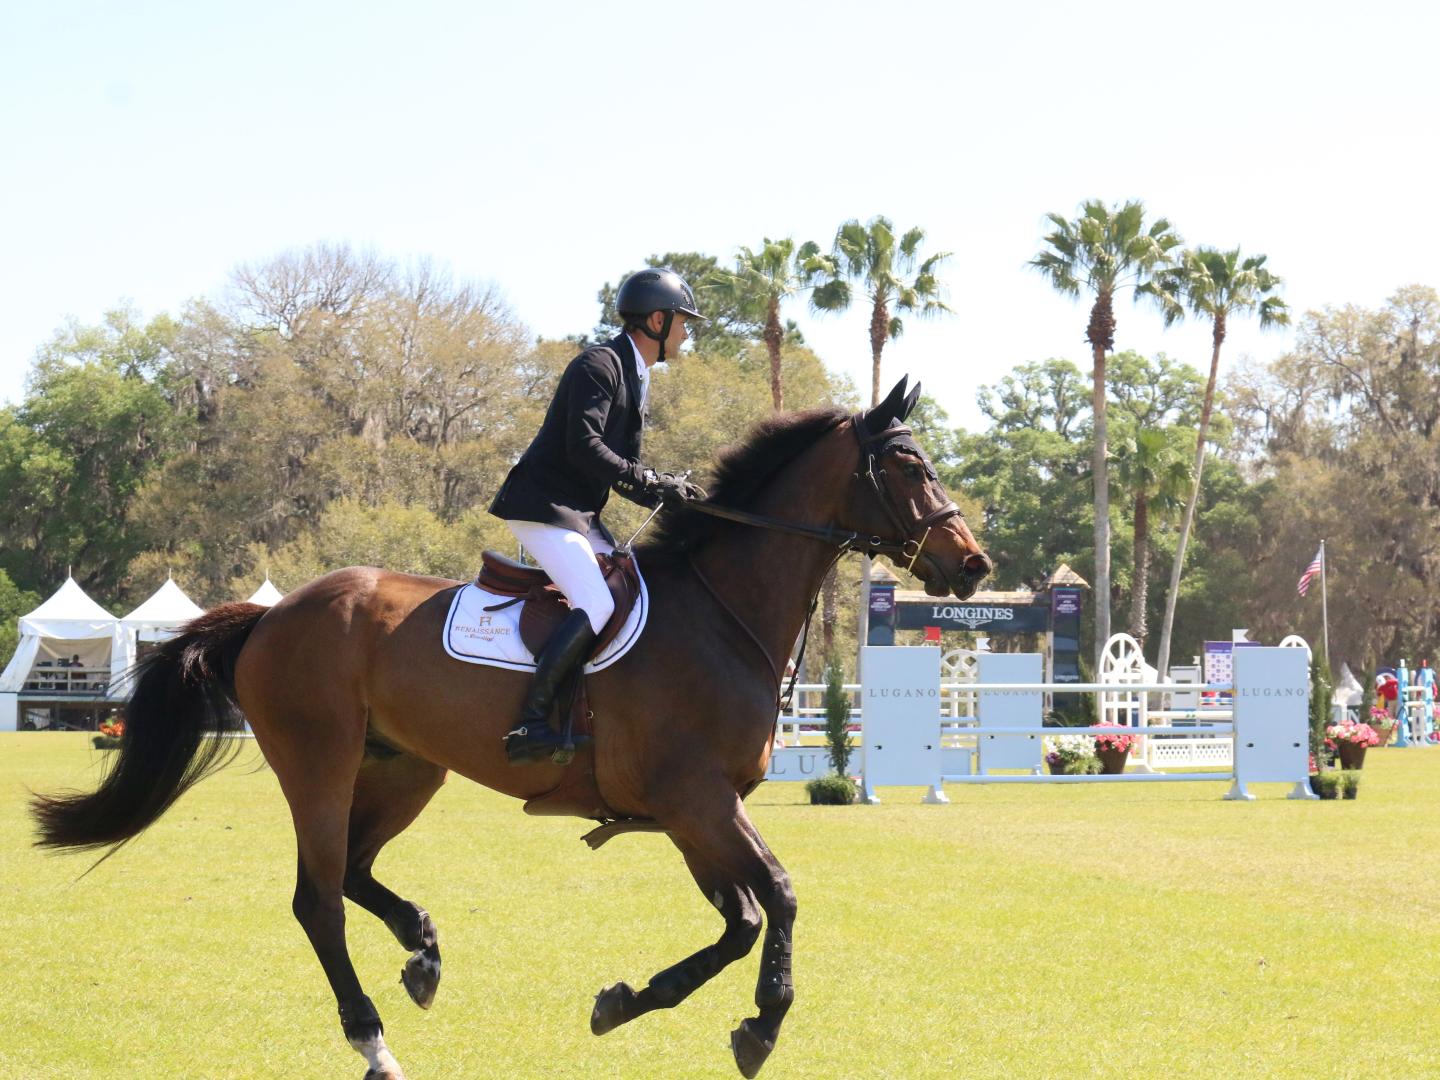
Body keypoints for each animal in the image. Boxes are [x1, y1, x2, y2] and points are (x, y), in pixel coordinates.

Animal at [32, 376, 991, 1079]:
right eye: (909, 466)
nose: (974, 565)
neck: (722, 612)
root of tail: (272, 615)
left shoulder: (694, 812)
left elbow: (743, 919)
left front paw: (625, 1002)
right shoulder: (699, 800)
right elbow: (779, 898)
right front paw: (761, 1027)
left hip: (404, 769)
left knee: (356, 873)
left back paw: (422, 952)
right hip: (320, 764)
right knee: (318, 899)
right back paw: (373, 1041)